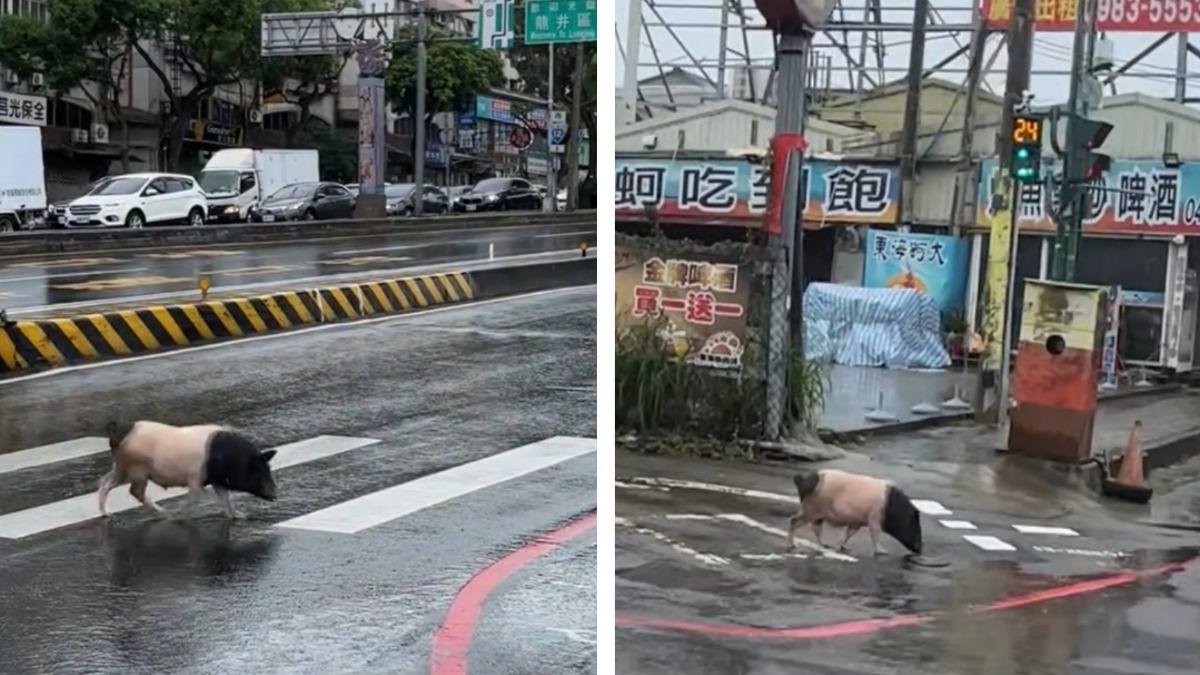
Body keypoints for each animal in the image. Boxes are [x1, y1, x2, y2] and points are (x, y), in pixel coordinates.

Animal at [100, 417, 278, 516]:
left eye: (268, 468)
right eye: (258, 469)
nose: (275, 494)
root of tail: (117, 431)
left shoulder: (217, 480)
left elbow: (225, 499)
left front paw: (240, 515)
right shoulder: (195, 479)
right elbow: (196, 497)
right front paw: (179, 515)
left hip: (122, 468)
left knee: (105, 481)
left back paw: (106, 513)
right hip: (136, 470)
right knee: (134, 491)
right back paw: (165, 513)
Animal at [782, 466, 921, 554]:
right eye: (914, 524)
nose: (920, 549)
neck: (891, 507)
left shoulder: (857, 521)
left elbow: (850, 533)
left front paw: (844, 548)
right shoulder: (874, 517)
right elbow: (875, 533)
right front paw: (883, 552)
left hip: (817, 513)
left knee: (816, 528)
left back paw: (826, 545)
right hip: (811, 509)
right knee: (793, 520)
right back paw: (792, 545)